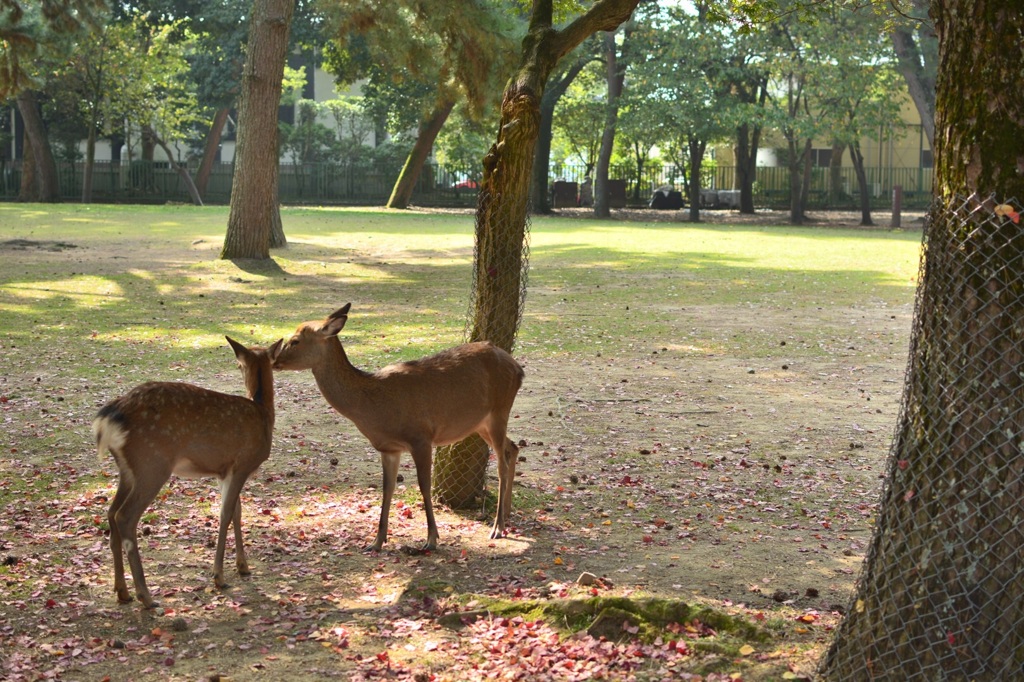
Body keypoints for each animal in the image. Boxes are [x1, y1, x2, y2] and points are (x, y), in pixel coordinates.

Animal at [95, 333, 284, 606]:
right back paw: (146, 596)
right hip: (152, 463)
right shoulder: (241, 465)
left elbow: (237, 512)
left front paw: (243, 567)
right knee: (125, 516)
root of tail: (110, 417)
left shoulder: (223, 471)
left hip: (128, 470)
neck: (263, 413)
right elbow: (226, 514)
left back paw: (123, 591)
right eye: (238, 365)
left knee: (111, 513)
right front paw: (219, 576)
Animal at [272, 305, 524, 548]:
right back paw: (507, 513)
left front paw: (431, 539)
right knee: (513, 447)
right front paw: (376, 541)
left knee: (501, 465)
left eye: (295, 340)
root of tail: (519, 369)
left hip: (500, 410)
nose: (274, 362)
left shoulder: (421, 437)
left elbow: (424, 485)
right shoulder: (389, 448)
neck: (374, 406)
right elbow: (387, 488)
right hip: (480, 423)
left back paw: (498, 527)